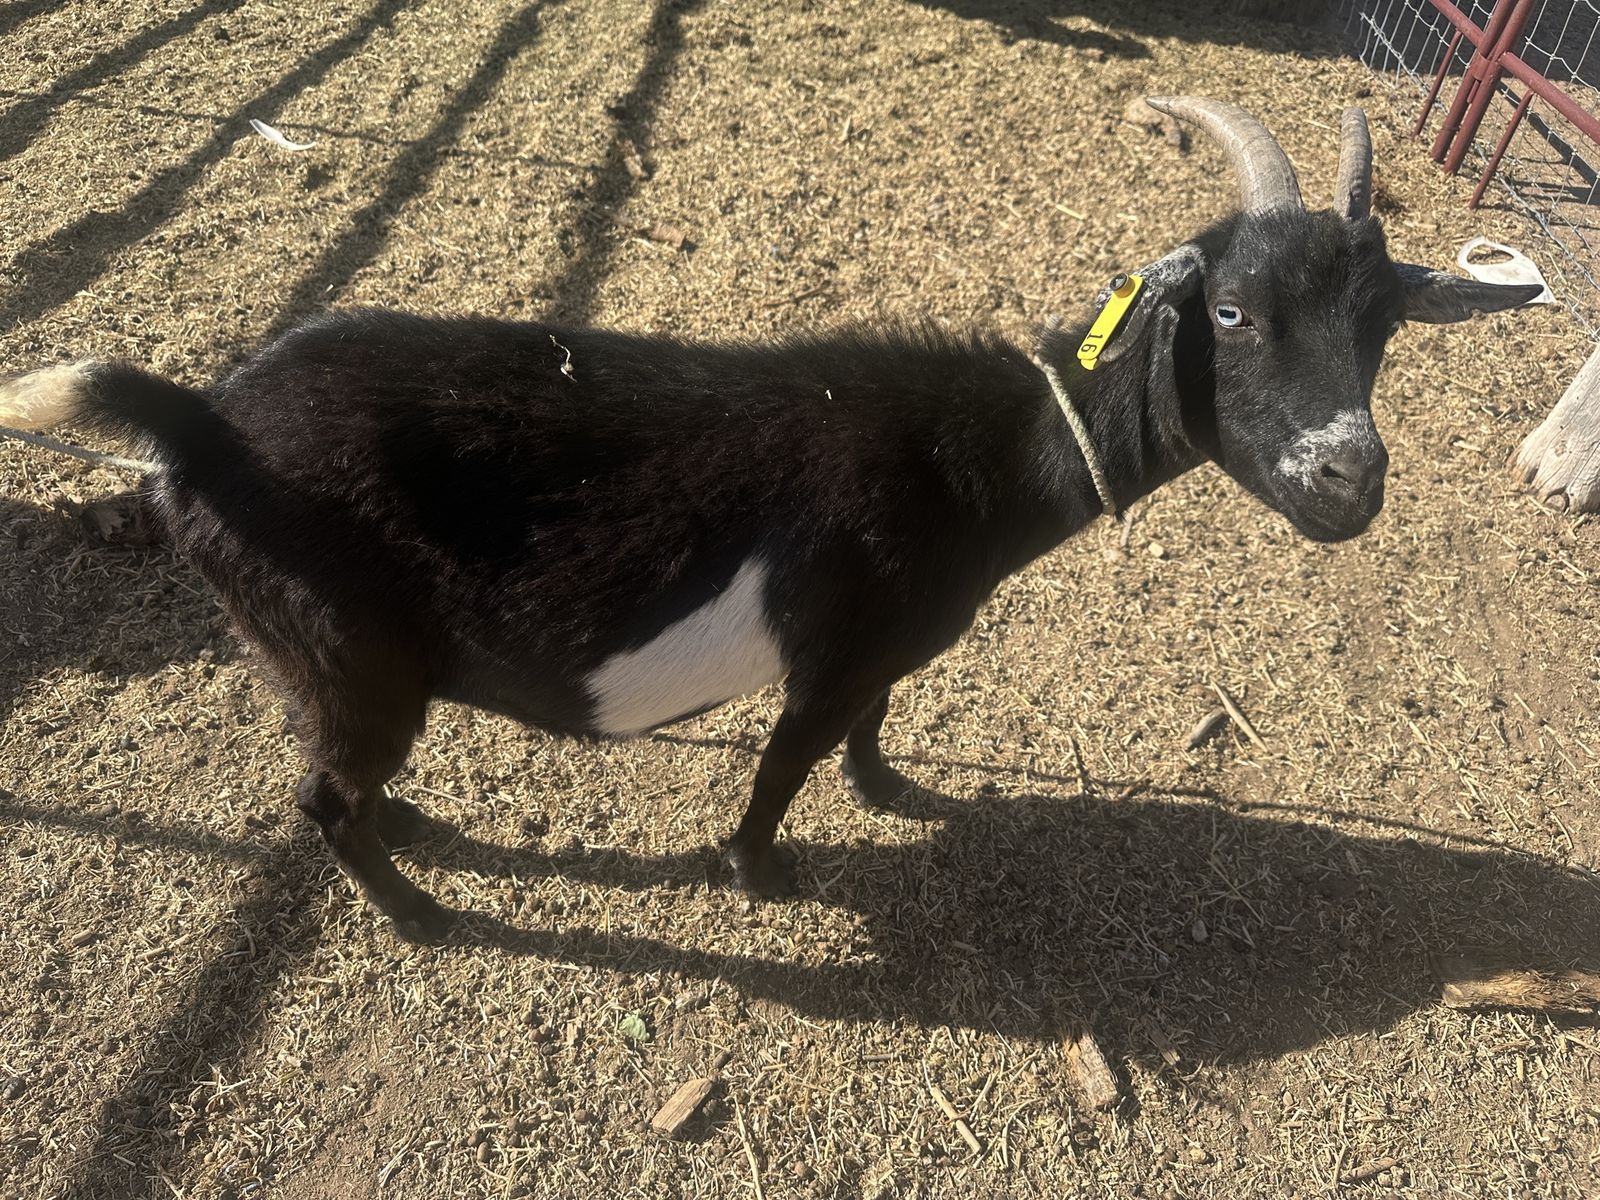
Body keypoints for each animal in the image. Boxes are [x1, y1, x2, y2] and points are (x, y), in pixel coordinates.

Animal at [0, 98, 1539, 942]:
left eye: (1385, 329)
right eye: (1227, 313)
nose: (1349, 482)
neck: (974, 455)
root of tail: (196, 431)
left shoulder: (888, 652)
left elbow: (871, 727)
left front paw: (889, 790)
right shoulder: (832, 645)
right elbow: (787, 759)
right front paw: (761, 873)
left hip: (320, 654)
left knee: (329, 771)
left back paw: (416, 834)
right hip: (341, 639)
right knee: (320, 793)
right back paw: (423, 912)